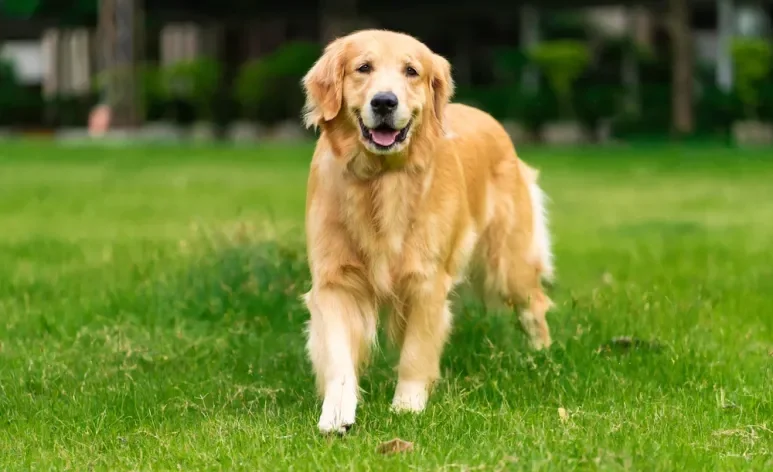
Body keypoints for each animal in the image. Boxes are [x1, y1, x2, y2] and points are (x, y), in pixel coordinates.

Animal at [298, 30, 552, 436]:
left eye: (411, 71)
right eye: (363, 67)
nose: (384, 101)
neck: (381, 179)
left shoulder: (426, 280)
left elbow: (416, 350)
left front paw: (407, 406)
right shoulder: (335, 281)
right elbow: (338, 356)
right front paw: (336, 413)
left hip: (509, 264)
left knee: (534, 305)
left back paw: (541, 356)